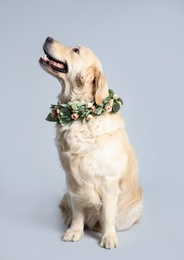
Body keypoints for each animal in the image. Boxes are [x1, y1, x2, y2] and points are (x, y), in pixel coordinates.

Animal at [38, 37, 142, 250]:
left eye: (76, 50)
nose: (48, 38)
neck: (81, 115)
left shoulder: (108, 181)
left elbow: (108, 214)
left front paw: (108, 237)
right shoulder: (73, 179)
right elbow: (78, 209)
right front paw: (75, 231)